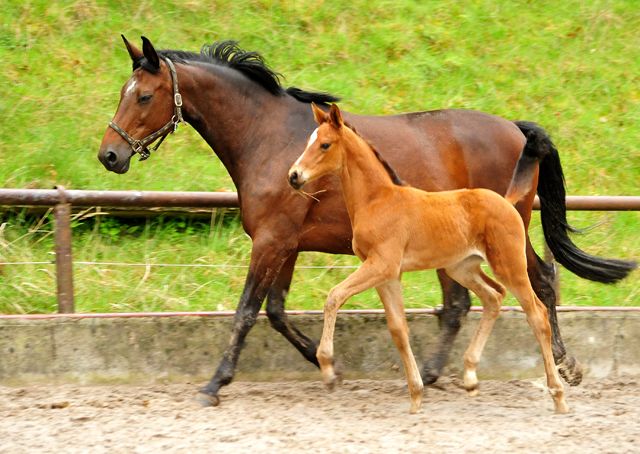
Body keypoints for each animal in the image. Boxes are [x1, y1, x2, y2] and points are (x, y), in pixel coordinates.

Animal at [288, 103, 568, 414]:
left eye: (325, 144)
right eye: (308, 141)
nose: (294, 175)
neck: (378, 200)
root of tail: (506, 201)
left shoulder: (381, 265)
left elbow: (334, 296)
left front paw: (327, 368)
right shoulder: (388, 275)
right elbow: (399, 329)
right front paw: (415, 397)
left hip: (509, 265)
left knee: (537, 314)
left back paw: (558, 395)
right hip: (462, 268)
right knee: (494, 296)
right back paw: (470, 376)